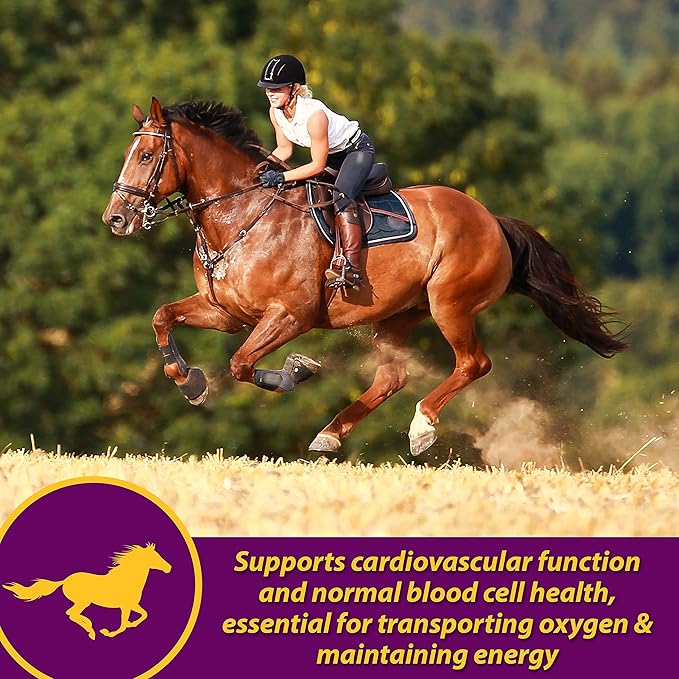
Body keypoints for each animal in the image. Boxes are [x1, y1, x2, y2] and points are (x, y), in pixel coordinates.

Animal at [3, 543, 171, 640]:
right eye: (155, 557)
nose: (169, 568)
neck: (128, 580)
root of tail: (65, 580)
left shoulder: (132, 605)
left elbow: (144, 615)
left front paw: (131, 624)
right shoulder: (125, 606)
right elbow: (123, 624)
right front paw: (108, 633)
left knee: (71, 614)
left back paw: (90, 628)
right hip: (83, 602)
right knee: (71, 613)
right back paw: (91, 630)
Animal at [102, 97, 627, 457]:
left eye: (146, 157)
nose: (115, 218)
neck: (241, 214)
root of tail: (492, 220)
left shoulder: (290, 315)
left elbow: (242, 364)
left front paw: (297, 370)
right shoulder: (226, 312)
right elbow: (162, 317)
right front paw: (189, 381)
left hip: (450, 304)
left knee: (473, 363)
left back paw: (421, 428)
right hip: (399, 314)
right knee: (393, 375)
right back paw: (330, 434)